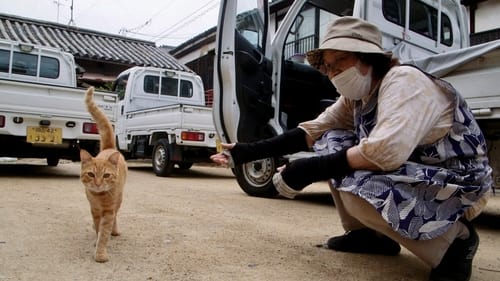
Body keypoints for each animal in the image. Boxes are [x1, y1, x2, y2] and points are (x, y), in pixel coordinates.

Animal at [79, 86, 127, 262]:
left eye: (106, 175)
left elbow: (104, 232)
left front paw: (100, 252)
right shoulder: (94, 209)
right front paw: (96, 239)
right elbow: (98, 228)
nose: (98, 184)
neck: (99, 197)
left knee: (116, 216)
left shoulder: (108, 211)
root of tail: (109, 148)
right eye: (91, 174)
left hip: (119, 199)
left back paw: (115, 230)